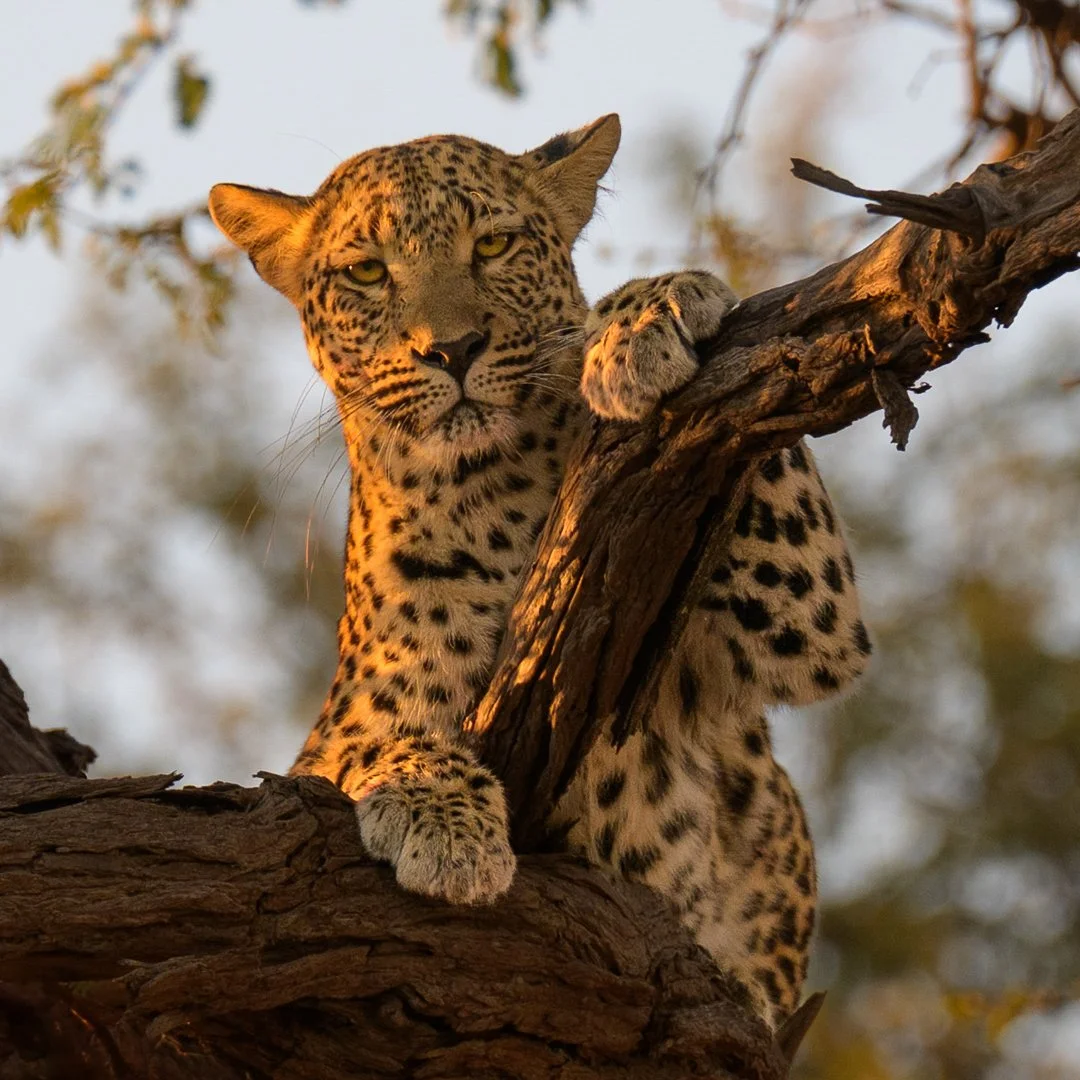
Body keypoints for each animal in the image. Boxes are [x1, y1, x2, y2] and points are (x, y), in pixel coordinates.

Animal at [208, 114, 871, 1029]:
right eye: (368, 272)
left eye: (494, 245)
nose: (453, 349)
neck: (500, 485)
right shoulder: (346, 724)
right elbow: (390, 737)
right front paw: (442, 819)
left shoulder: (810, 619)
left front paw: (651, 313)